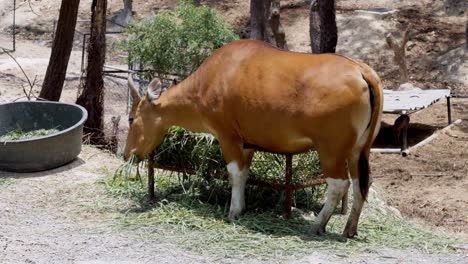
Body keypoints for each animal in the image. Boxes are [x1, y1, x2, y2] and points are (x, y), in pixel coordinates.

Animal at [124, 39, 384, 237]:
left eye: (131, 118)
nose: (127, 154)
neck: (210, 78)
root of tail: (361, 71)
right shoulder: (247, 144)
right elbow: (244, 174)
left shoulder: (227, 136)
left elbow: (234, 174)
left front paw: (234, 211)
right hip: (359, 150)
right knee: (362, 183)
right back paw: (350, 228)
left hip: (331, 149)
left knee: (339, 184)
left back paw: (317, 225)